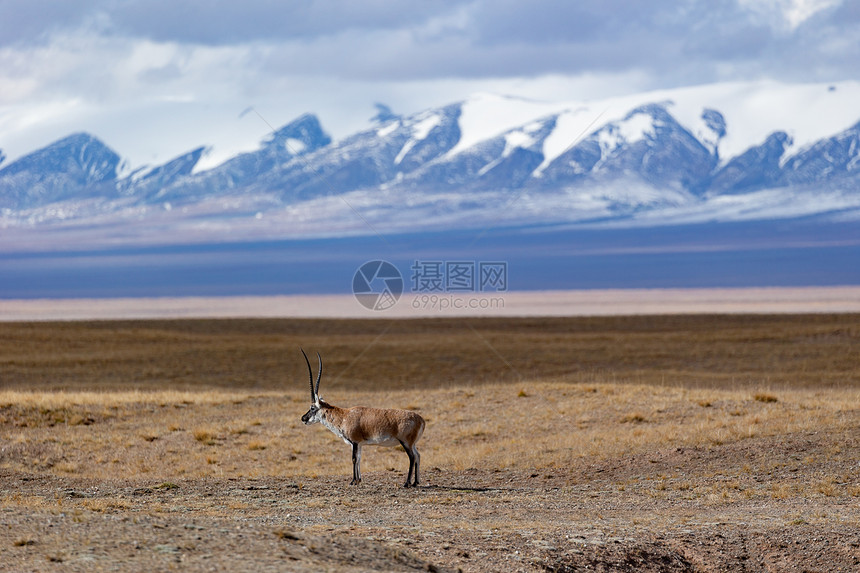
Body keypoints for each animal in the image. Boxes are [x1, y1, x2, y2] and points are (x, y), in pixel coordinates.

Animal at [298, 348, 426, 488]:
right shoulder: (359, 444)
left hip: (406, 443)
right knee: (418, 456)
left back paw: (407, 483)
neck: (343, 416)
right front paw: (358, 480)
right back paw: (416, 482)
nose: (303, 418)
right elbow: (359, 459)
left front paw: (353, 481)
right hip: (412, 444)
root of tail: (421, 420)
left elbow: (354, 459)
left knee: (412, 457)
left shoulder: (354, 442)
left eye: (312, 408)